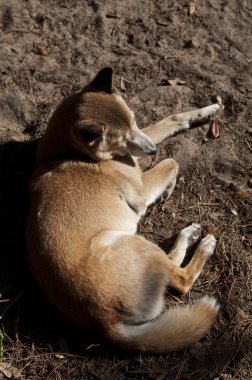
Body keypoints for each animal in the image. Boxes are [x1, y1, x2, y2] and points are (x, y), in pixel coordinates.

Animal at [27, 67, 220, 354]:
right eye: (122, 138)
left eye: (135, 121)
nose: (152, 149)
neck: (67, 152)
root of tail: (105, 323)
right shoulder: (140, 189)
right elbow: (171, 162)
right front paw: (169, 186)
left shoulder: (145, 140)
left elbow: (171, 119)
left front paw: (206, 112)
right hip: (137, 244)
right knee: (181, 279)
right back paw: (202, 242)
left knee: (171, 267)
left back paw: (189, 235)